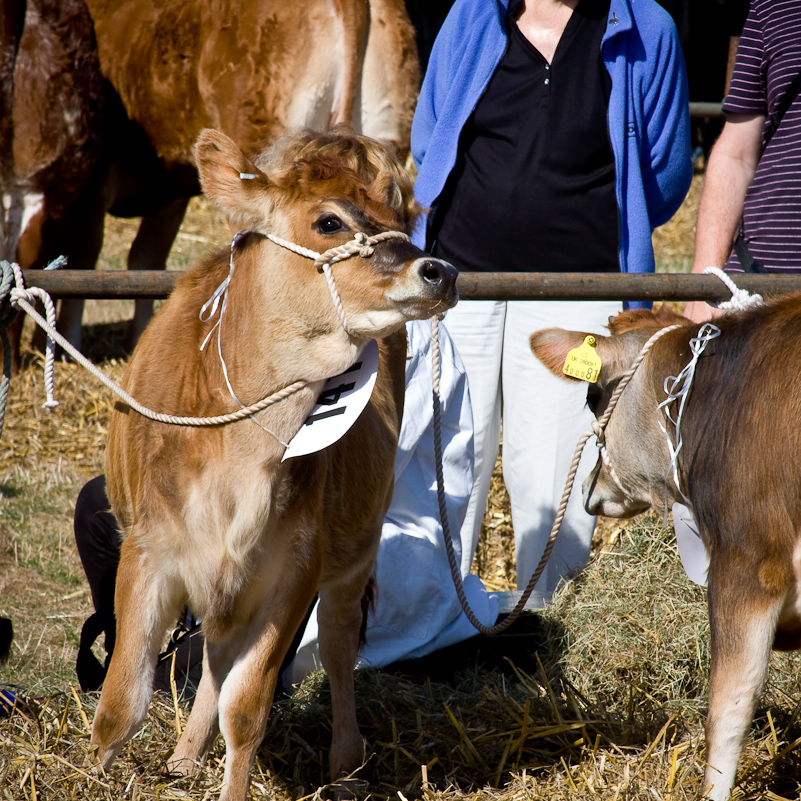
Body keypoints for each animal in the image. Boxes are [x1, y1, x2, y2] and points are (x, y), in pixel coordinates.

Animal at [91, 128, 456, 796]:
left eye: (402, 221)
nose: (439, 271)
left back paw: (346, 766)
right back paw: (184, 758)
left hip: (355, 550)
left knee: (337, 646)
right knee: (216, 652)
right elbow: (120, 704)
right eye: (329, 221)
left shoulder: (294, 568)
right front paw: (94, 774)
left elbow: (247, 710)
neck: (239, 462)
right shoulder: (149, 550)